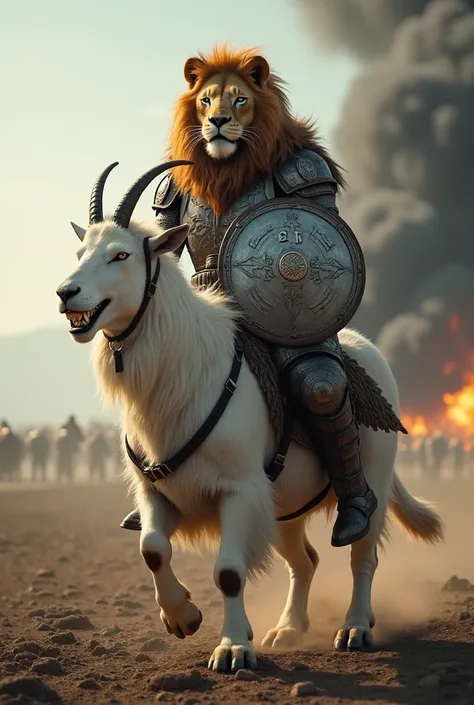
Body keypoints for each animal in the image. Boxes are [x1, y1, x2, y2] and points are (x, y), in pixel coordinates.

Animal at [56, 162, 444, 672]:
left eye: (121, 255)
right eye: (81, 253)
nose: (66, 294)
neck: (185, 374)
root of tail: (370, 357)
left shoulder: (238, 492)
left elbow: (228, 572)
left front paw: (234, 647)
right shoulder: (158, 493)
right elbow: (152, 549)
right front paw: (183, 617)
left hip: (372, 481)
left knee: (362, 555)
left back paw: (355, 627)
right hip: (283, 509)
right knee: (305, 561)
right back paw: (289, 629)